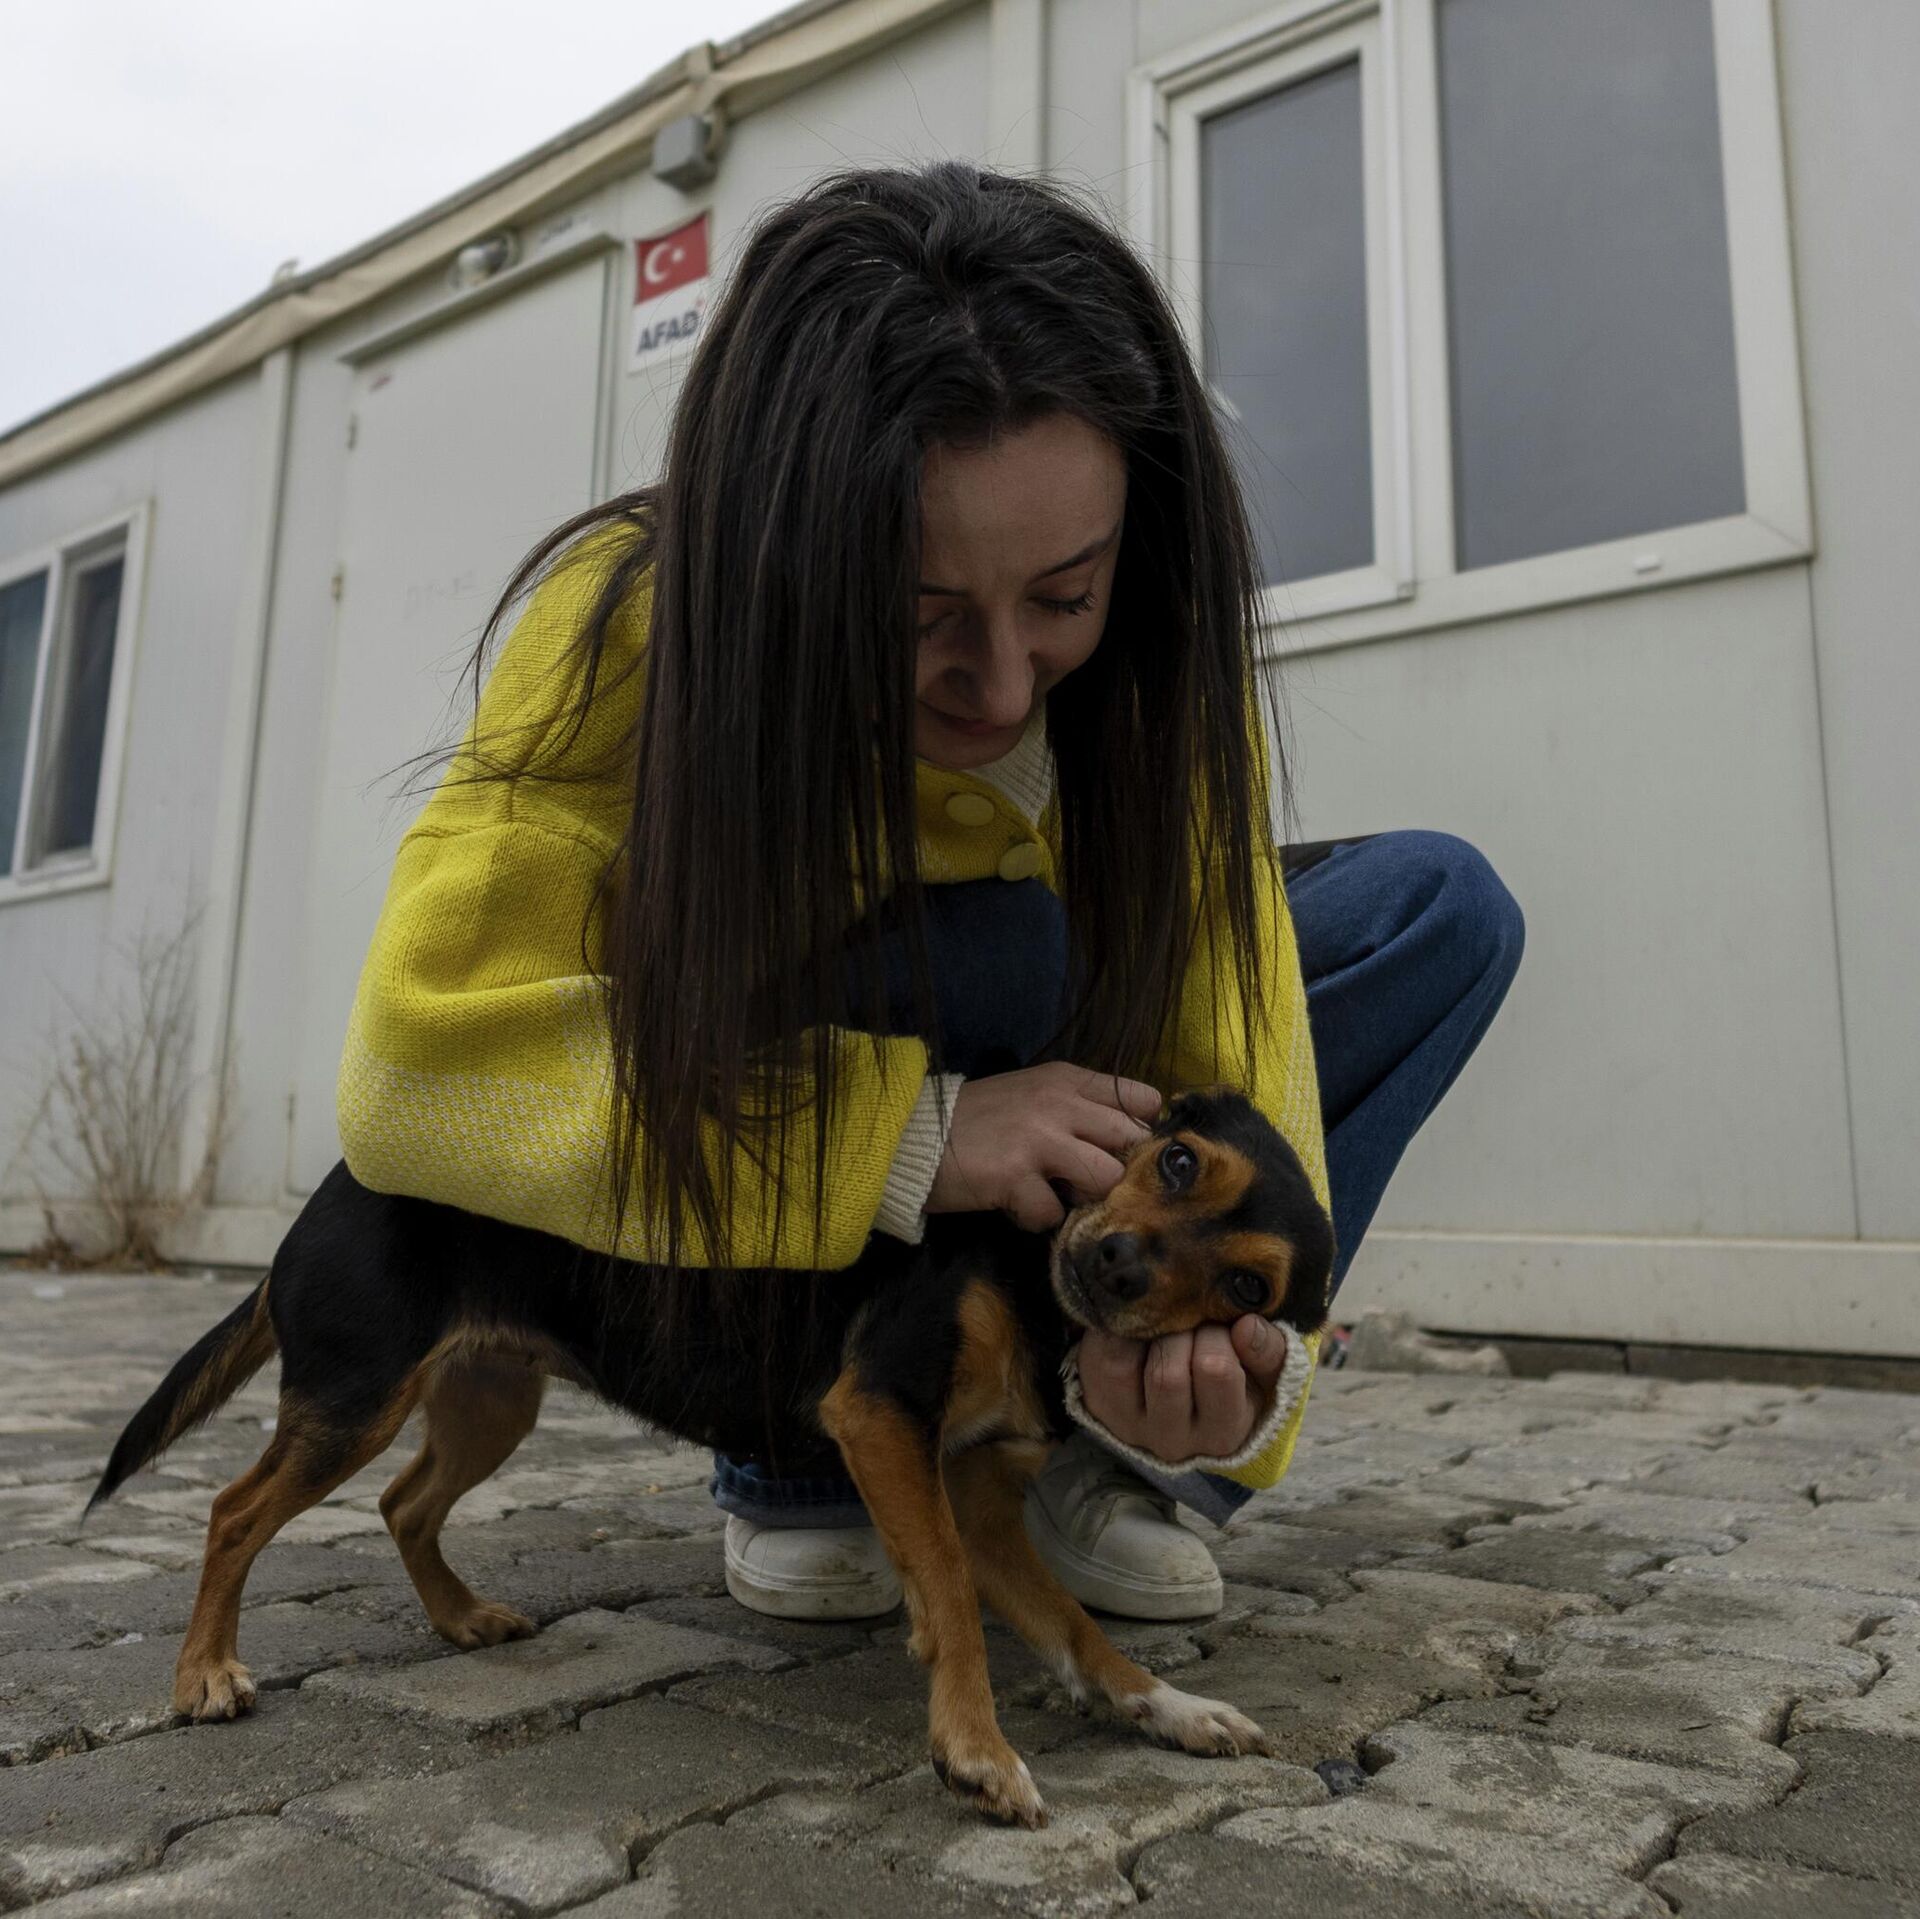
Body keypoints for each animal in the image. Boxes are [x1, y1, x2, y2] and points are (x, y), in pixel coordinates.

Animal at [88, 1087, 1334, 1827]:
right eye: (1177, 1160)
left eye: (1243, 1288)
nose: (1118, 1265)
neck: (1035, 1278)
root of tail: (319, 1199)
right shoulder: (879, 1416)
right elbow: (953, 1602)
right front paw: (977, 1748)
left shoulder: (979, 1490)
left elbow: (1074, 1626)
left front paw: (1168, 1704)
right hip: (356, 1394)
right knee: (234, 1509)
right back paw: (204, 1674)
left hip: (491, 1394)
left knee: (403, 1502)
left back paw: (461, 1617)